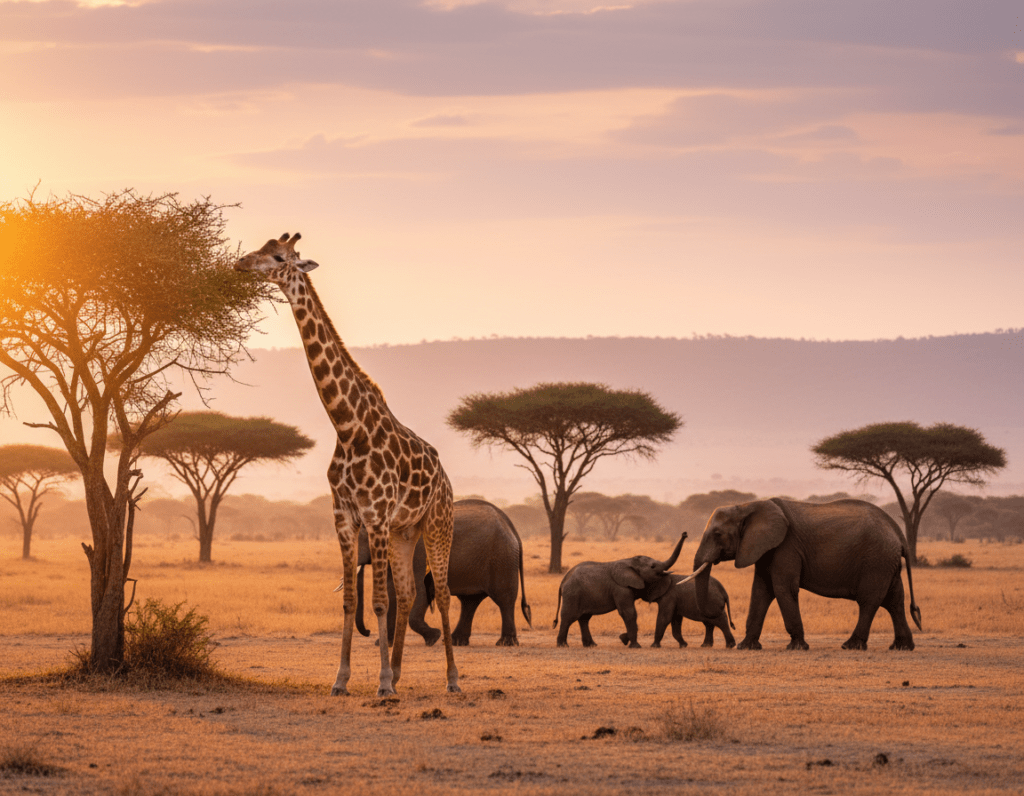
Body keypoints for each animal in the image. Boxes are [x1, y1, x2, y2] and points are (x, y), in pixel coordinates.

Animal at [235, 233, 460, 696]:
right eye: (260, 249)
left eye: (279, 256)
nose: (241, 264)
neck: (346, 424)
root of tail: (446, 478)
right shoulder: (343, 515)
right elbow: (349, 599)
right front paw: (342, 679)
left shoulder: (374, 515)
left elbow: (377, 601)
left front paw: (382, 685)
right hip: (404, 531)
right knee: (409, 594)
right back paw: (398, 671)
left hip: (436, 523)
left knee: (443, 593)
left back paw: (450, 679)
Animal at [354, 499, 532, 647]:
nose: (367, 632)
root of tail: (510, 525)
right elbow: (392, 591)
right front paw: (385, 644)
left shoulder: (418, 553)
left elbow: (418, 590)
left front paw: (433, 637)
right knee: (469, 602)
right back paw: (457, 641)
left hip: (502, 557)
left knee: (504, 599)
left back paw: (505, 643)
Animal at [553, 533, 687, 648]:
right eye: (653, 566)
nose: (684, 534)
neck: (631, 561)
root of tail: (564, 580)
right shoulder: (621, 588)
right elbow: (629, 612)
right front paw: (634, 645)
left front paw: (624, 639)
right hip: (572, 594)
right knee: (568, 617)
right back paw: (563, 645)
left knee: (584, 618)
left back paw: (591, 645)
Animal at [685, 498, 922, 651]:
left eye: (717, 534)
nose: (731, 624)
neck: (747, 505)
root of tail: (898, 531)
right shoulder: (765, 548)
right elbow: (761, 591)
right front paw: (746, 647)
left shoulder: (786, 547)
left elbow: (783, 589)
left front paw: (796, 647)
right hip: (886, 561)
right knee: (894, 600)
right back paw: (901, 647)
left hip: (876, 560)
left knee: (869, 600)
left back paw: (851, 646)